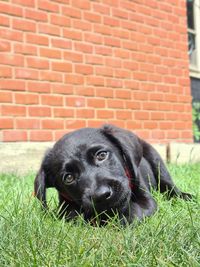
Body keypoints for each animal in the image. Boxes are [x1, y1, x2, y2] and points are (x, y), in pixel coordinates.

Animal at [34, 124, 192, 225]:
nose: (101, 195)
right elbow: (73, 216)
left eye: (102, 155)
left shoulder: (146, 200)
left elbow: (133, 213)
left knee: (168, 185)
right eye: (68, 178)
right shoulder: (65, 210)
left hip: (156, 160)